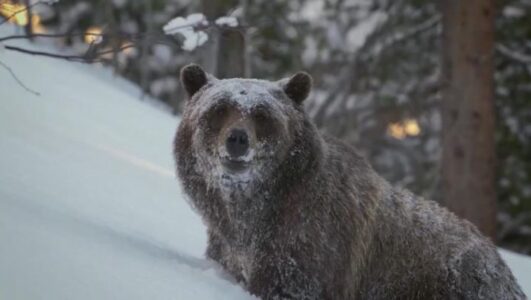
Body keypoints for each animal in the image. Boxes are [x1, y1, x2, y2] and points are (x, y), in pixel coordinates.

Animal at [176, 63, 528, 300]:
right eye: (220, 109)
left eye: (262, 115)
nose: (237, 139)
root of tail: (500, 262)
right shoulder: (230, 247)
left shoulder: (309, 254)